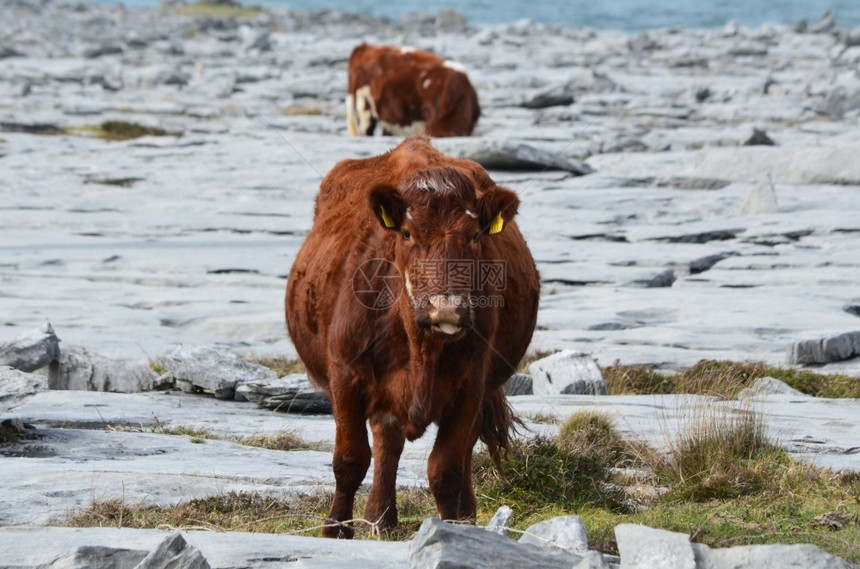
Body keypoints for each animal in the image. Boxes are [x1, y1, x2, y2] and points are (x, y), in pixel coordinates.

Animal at [282, 134, 536, 536]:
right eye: (407, 233)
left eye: (475, 235)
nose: (446, 308)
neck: (422, 350)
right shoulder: (345, 376)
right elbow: (350, 459)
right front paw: (335, 528)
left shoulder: (470, 384)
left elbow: (446, 467)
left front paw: (452, 530)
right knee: (388, 441)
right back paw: (380, 517)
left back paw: (460, 515)